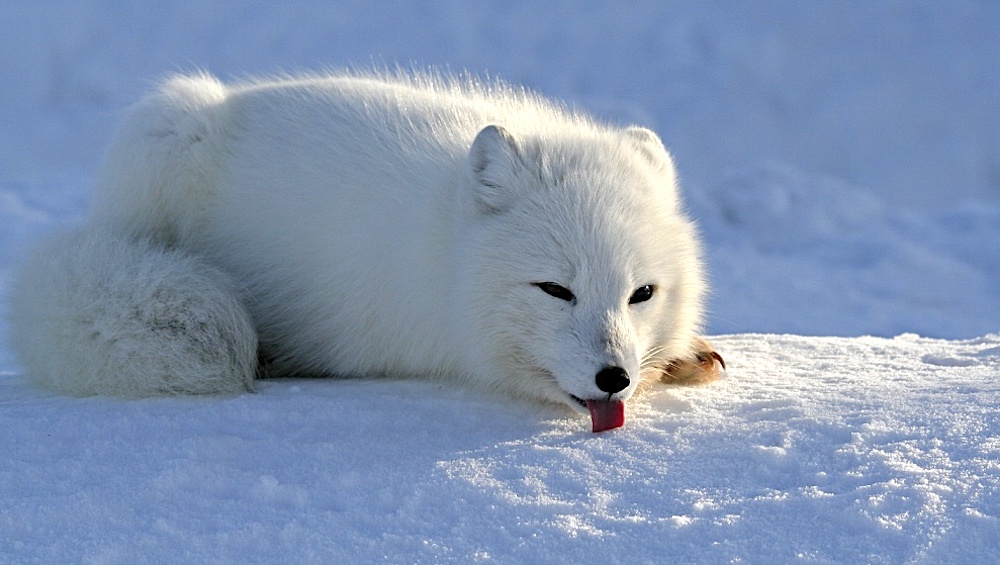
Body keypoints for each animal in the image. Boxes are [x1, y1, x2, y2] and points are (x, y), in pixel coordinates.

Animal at [3, 71, 724, 432]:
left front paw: (680, 357)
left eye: (641, 294)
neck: (445, 246)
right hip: (161, 128)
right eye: (555, 289)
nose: (614, 378)